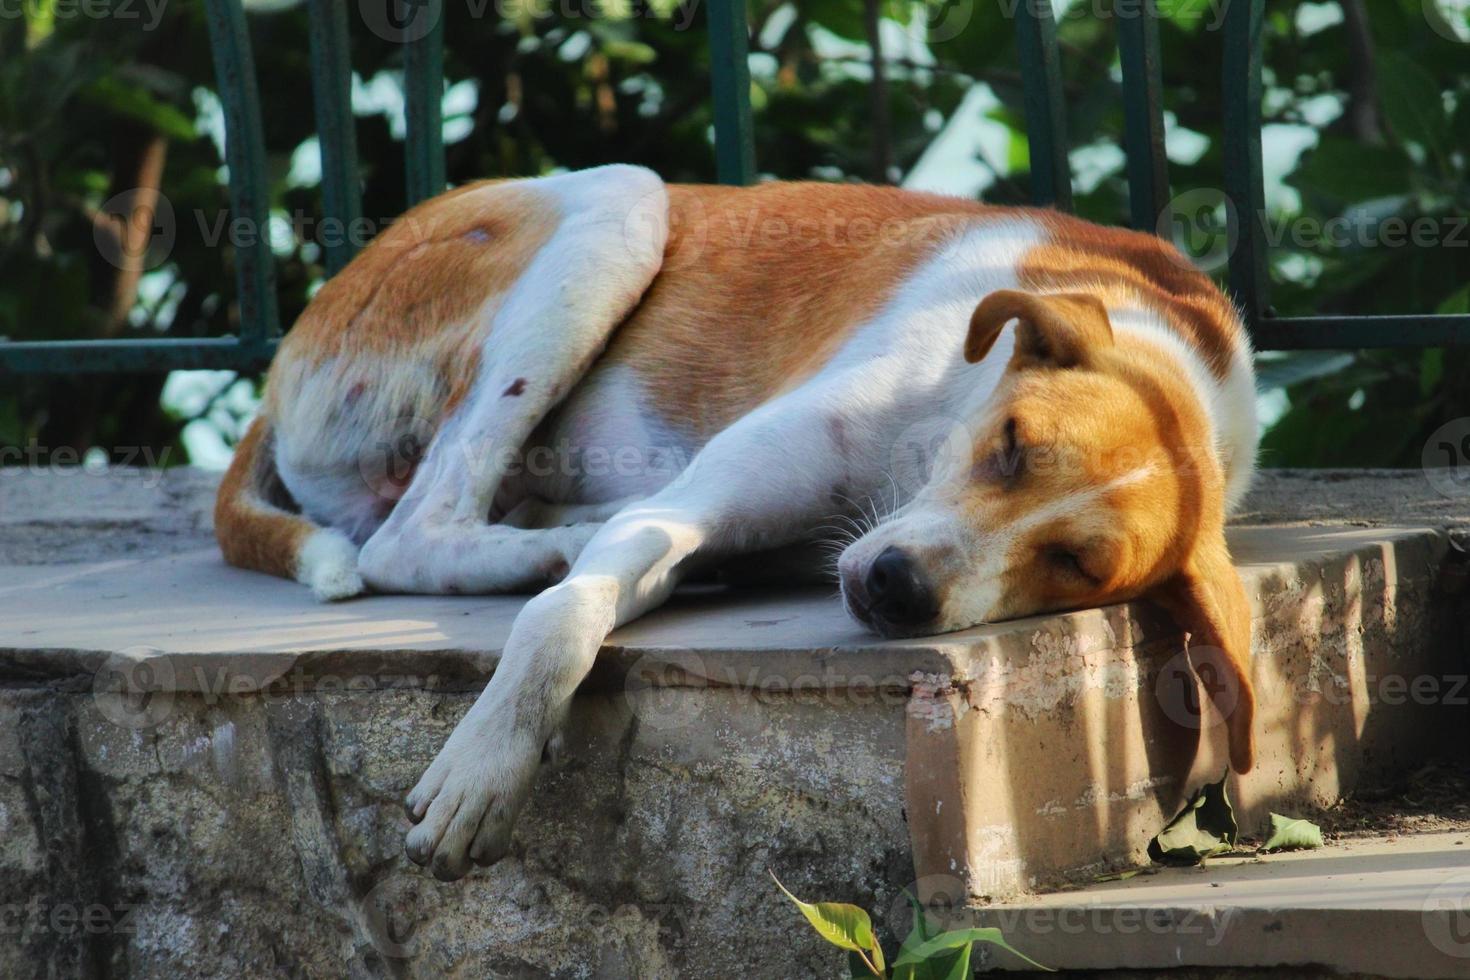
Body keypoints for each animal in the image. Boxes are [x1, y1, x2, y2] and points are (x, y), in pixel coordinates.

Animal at [213, 166, 1258, 881]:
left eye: (1077, 564)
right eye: (1010, 445)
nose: (897, 590)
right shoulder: (692, 506)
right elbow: (563, 617)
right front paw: (487, 763)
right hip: (620, 205)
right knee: (409, 535)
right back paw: (556, 545)